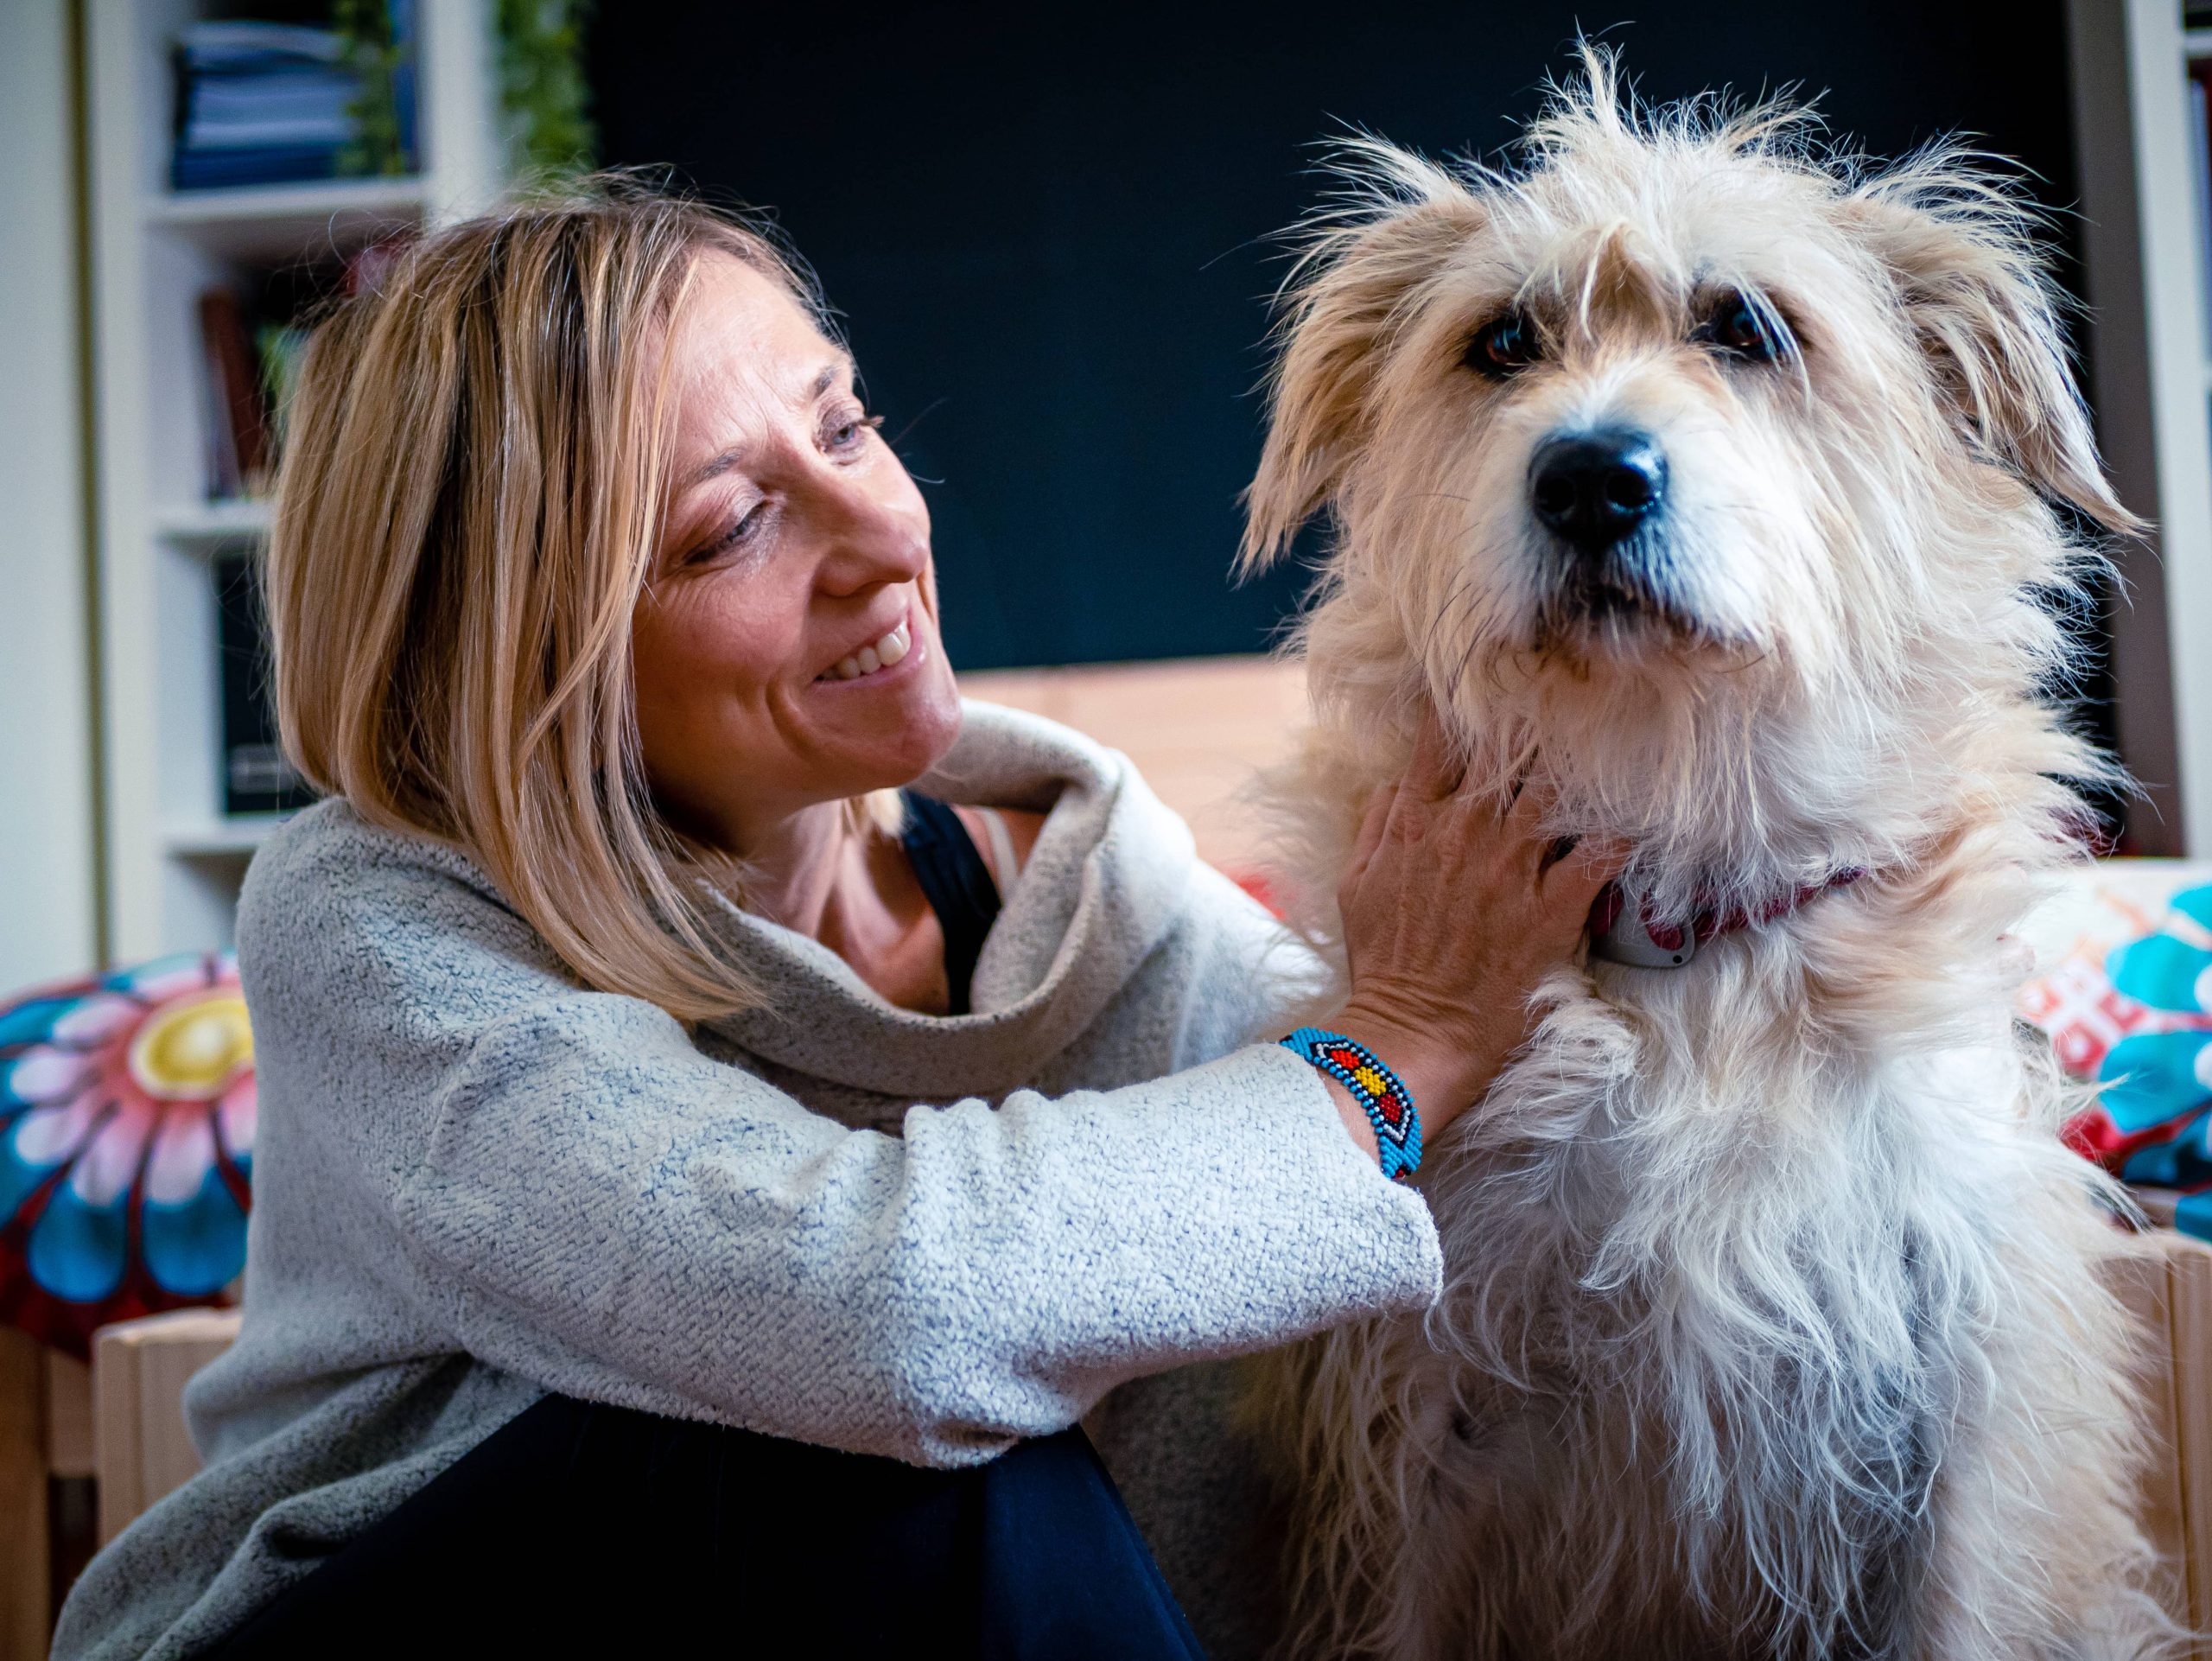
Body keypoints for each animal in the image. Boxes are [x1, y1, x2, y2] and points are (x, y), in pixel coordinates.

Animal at [1247, 52, 2177, 1661]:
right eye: (1503, 341)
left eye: (1747, 326)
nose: (1590, 477)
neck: (1688, 944)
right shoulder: (1409, 1419)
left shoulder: (1961, 1409)